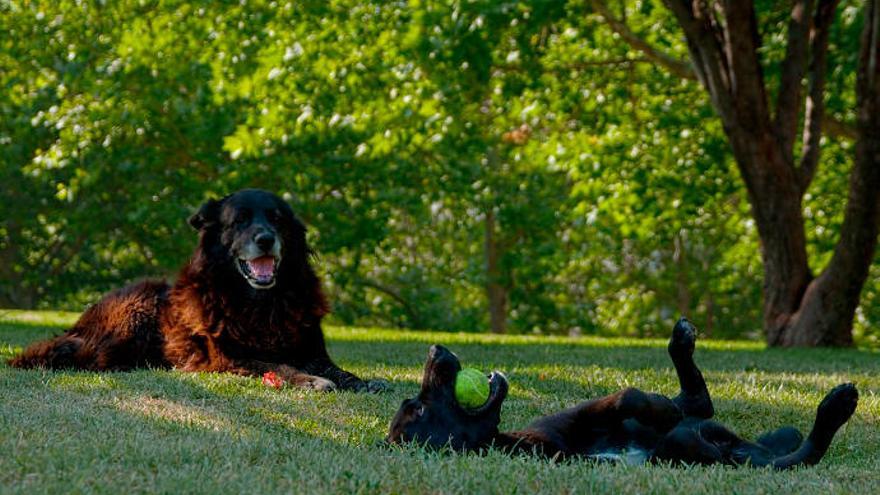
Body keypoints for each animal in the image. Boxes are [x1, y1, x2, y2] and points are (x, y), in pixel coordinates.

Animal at [7, 191, 384, 396]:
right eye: (240, 220)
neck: (263, 305)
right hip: (135, 311)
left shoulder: (313, 350)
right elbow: (277, 364)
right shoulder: (229, 358)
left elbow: (339, 370)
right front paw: (309, 380)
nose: (266, 239)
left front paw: (362, 381)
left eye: (277, 219)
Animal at [388, 318, 856, 468]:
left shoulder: (572, 417)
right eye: (417, 409)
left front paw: (662, 406)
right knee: (797, 454)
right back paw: (836, 406)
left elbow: (628, 397)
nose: (436, 349)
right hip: (730, 454)